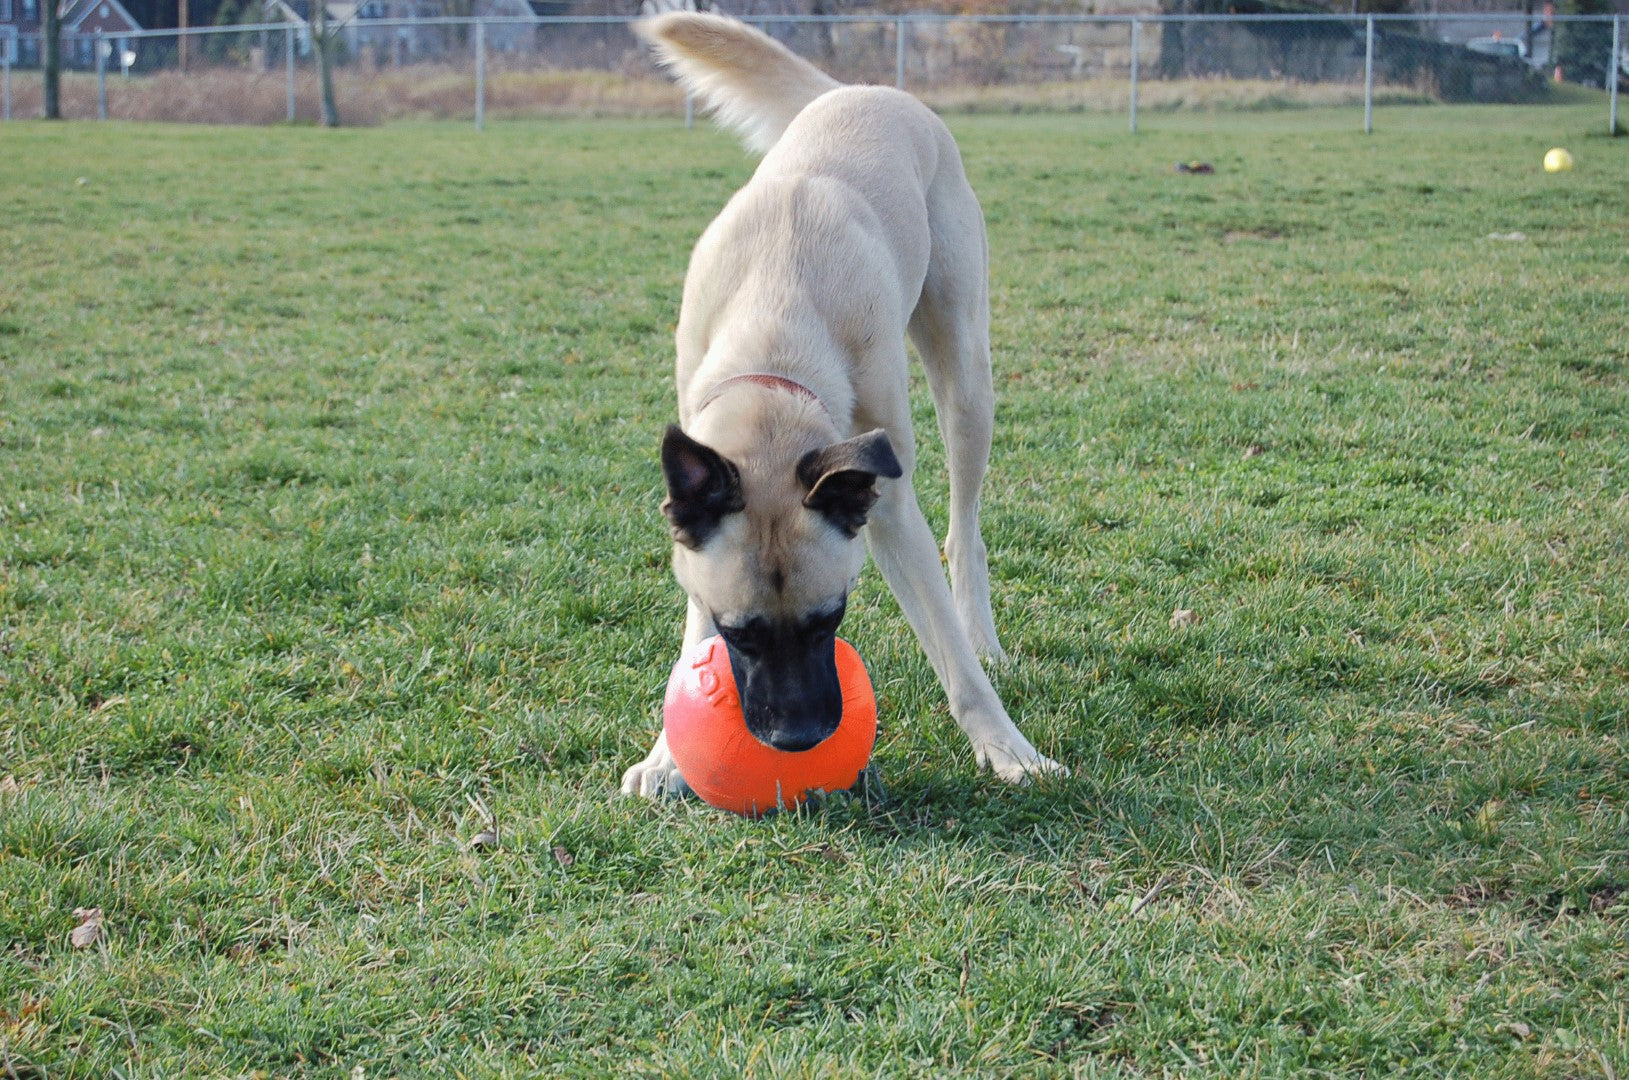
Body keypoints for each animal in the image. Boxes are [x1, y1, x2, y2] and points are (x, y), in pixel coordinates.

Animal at [615, 12, 1062, 798]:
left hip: (965, 379)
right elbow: (690, 626)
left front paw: (1009, 750)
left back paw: (981, 631)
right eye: (737, 634)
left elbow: (954, 660)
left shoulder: (887, 503)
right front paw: (666, 755)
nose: (794, 740)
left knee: (964, 530)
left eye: (832, 620)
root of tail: (862, 89)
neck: (773, 340)